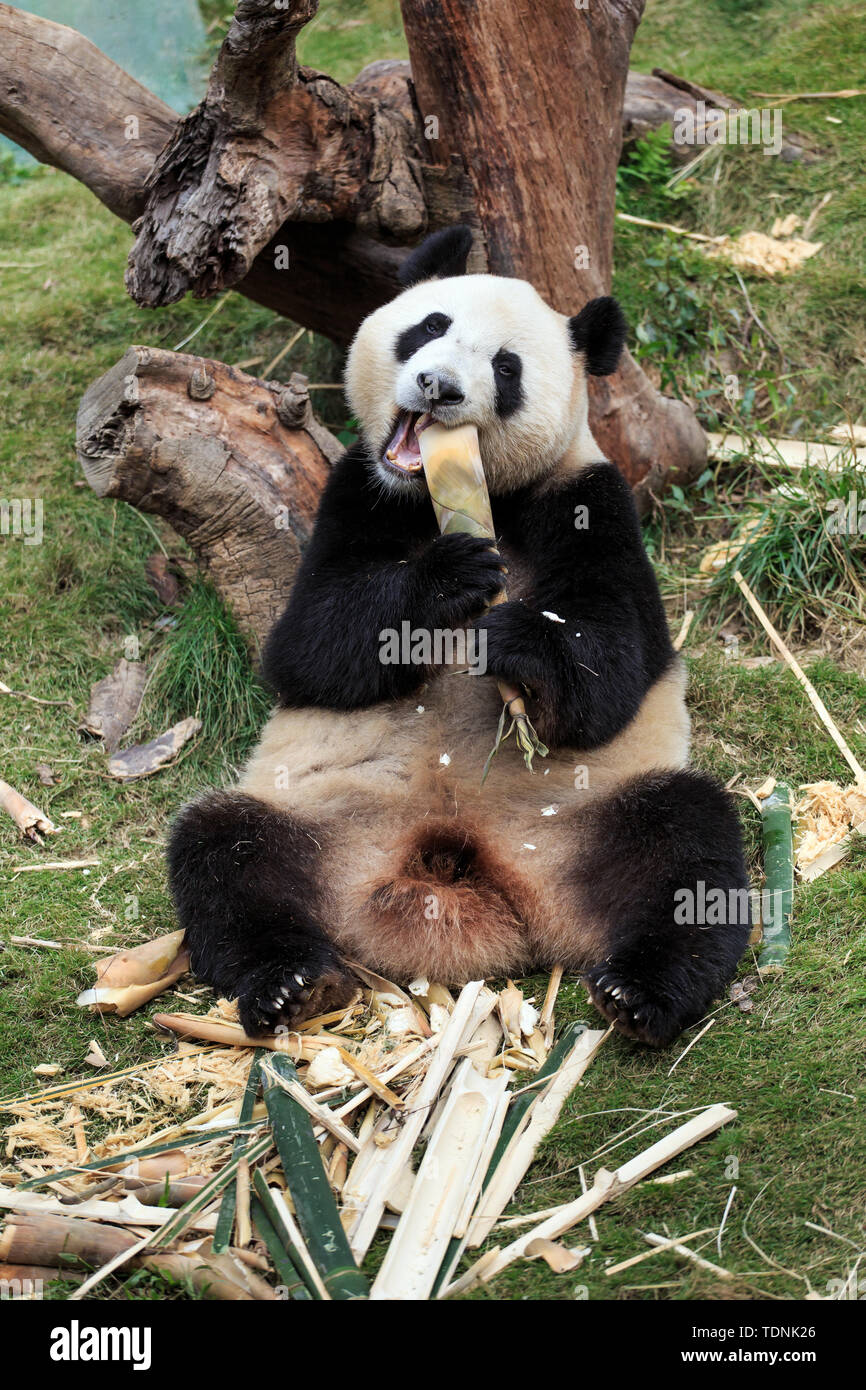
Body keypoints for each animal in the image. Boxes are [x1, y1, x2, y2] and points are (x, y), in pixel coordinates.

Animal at [167, 225, 750, 1048]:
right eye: (429, 326)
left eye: (506, 368)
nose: (438, 386)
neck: (454, 498)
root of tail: (454, 873)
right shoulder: (357, 490)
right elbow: (306, 648)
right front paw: (448, 580)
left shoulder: (588, 497)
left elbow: (615, 667)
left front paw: (517, 645)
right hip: (322, 819)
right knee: (224, 850)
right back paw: (292, 983)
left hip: (577, 821)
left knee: (686, 846)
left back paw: (642, 991)